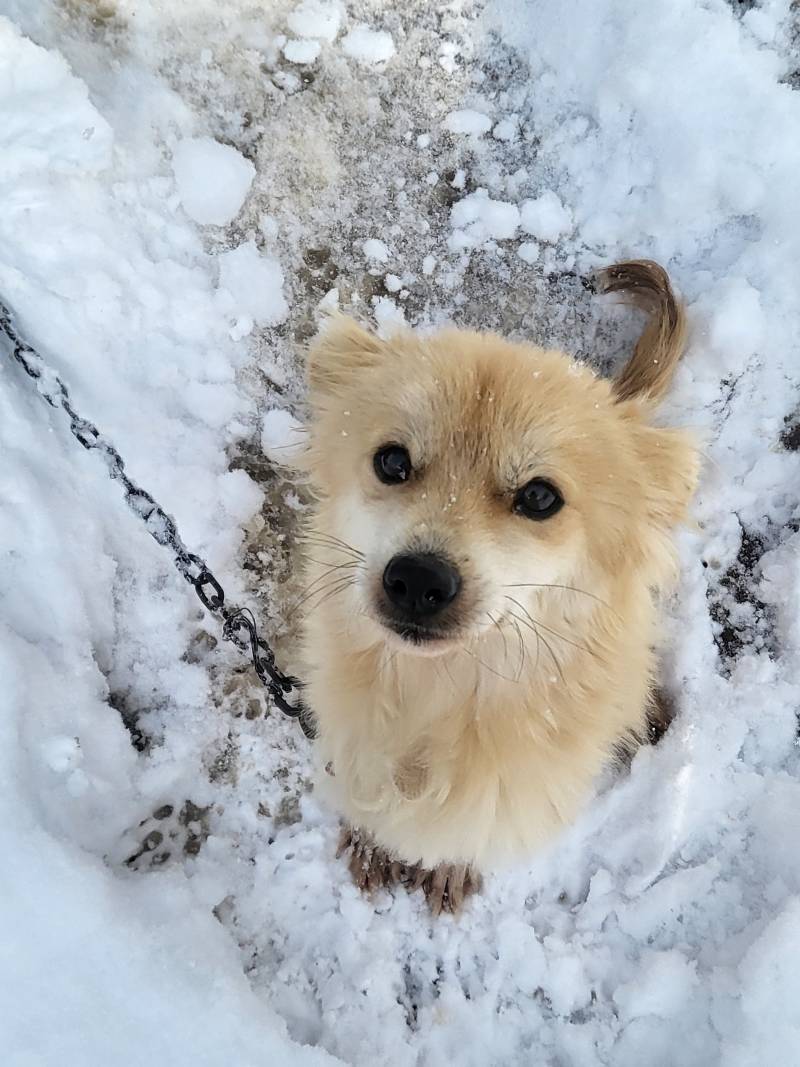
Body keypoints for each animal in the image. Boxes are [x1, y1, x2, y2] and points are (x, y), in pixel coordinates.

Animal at [298, 262, 699, 913]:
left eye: (538, 496)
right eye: (391, 461)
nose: (417, 580)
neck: (443, 690)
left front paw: (449, 865)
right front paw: (375, 841)